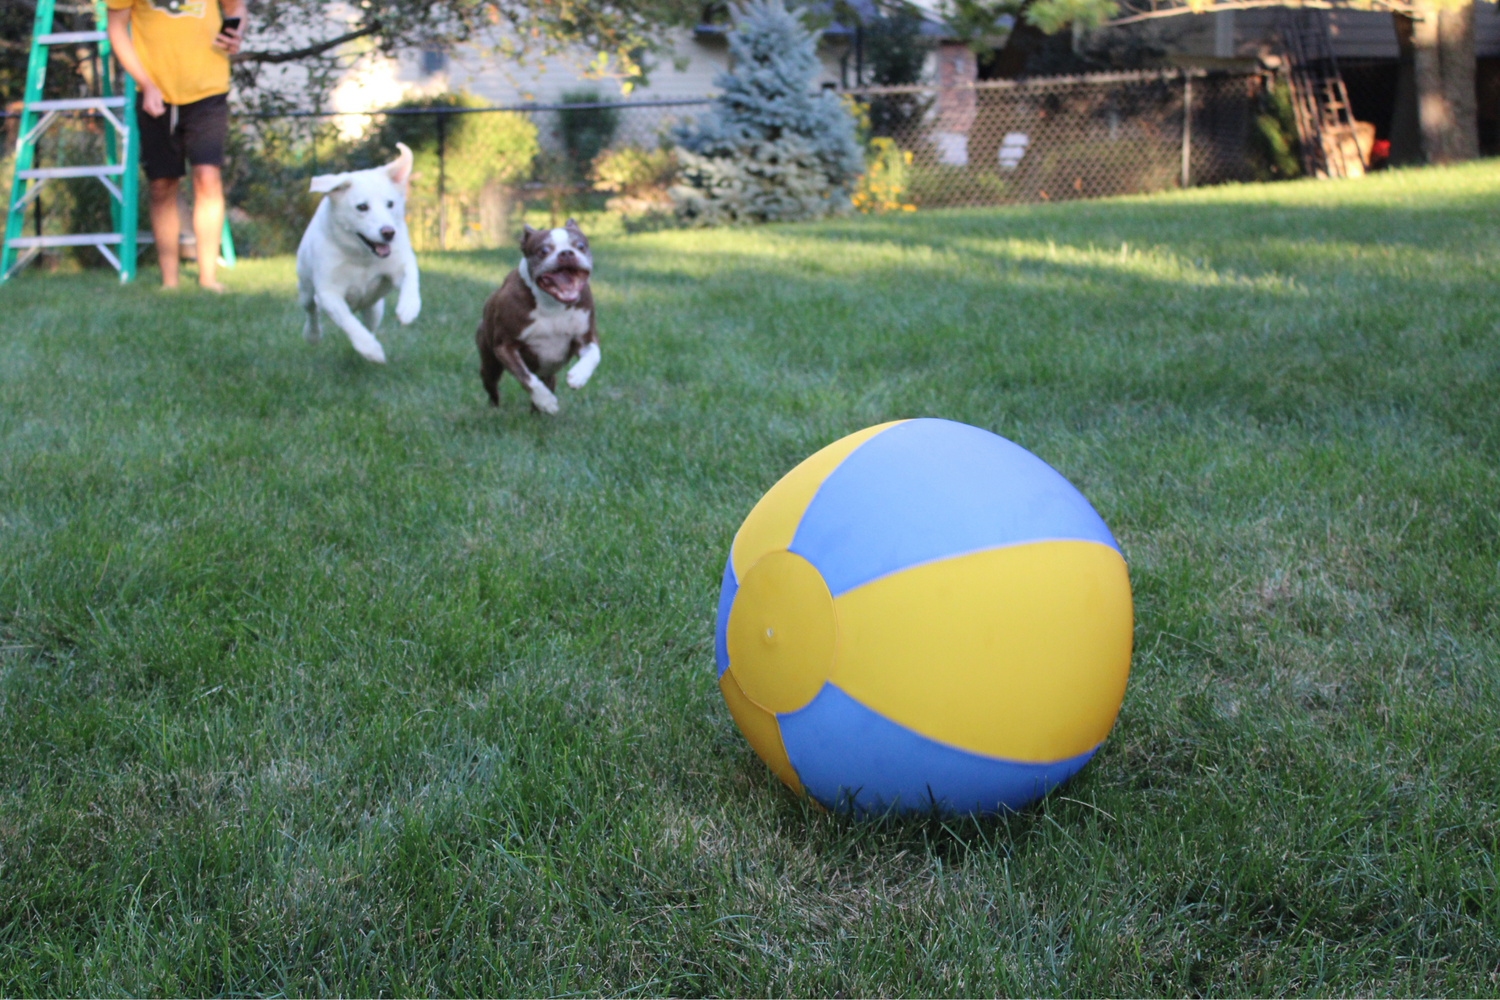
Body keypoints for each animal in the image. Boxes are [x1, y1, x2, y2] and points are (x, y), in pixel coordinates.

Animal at [297, 142, 423, 365]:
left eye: (390, 204)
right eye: (362, 207)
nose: (388, 232)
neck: (362, 257)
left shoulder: (398, 262)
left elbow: (410, 274)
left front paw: (408, 306)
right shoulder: (329, 293)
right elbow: (348, 321)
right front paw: (369, 349)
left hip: (375, 308)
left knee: (370, 323)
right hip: (305, 288)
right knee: (311, 310)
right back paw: (313, 334)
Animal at [477, 221, 600, 413]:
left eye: (580, 246)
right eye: (543, 250)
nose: (566, 253)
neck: (552, 304)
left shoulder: (584, 338)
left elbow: (594, 354)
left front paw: (578, 376)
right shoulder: (505, 346)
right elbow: (526, 377)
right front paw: (546, 401)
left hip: (546, 372)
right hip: (490, 361)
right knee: (491, 384)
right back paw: (495, 409)